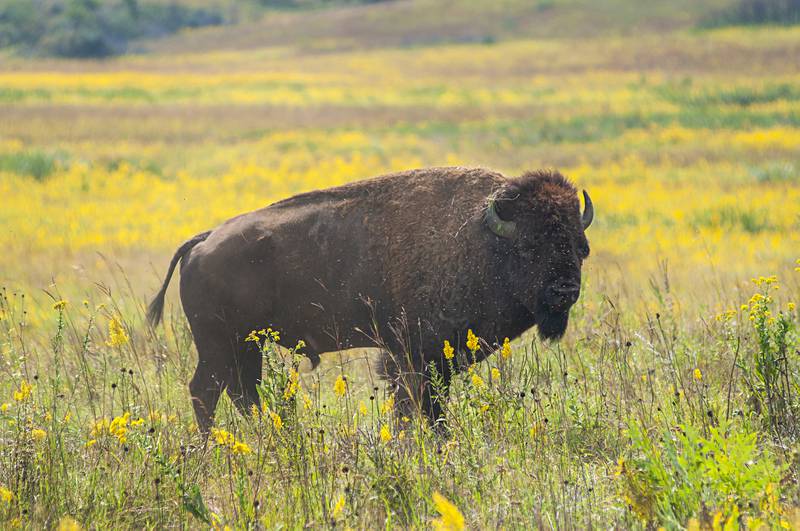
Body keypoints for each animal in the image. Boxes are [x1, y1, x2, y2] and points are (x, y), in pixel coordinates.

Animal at [147, 166, 592, 432]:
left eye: (578, 245)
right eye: (531, 245)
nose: (565, 291)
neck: (480, 238)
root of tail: (204, 240)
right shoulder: (411, 355)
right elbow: (413, 405)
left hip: (245, 345)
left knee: (243, 392)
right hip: (218, 344)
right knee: (206, 390)